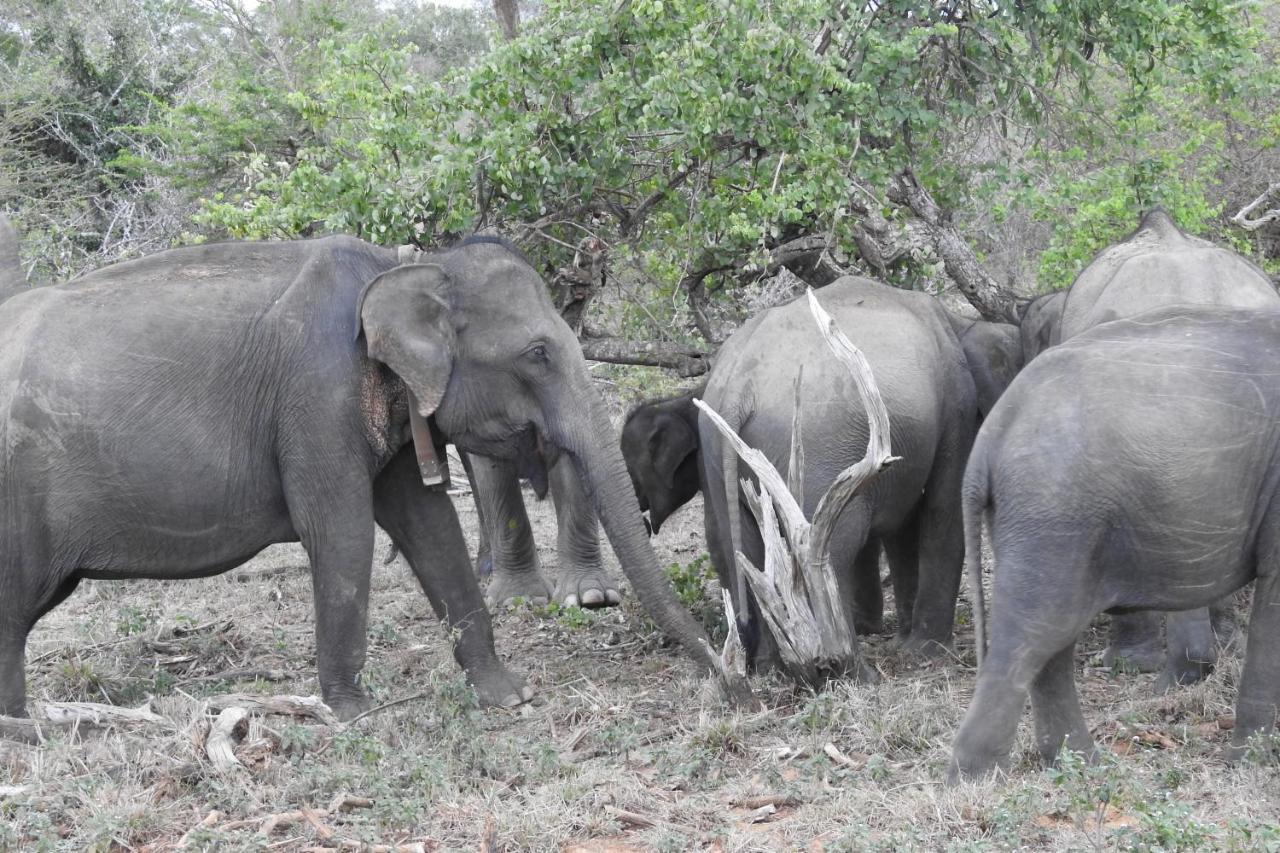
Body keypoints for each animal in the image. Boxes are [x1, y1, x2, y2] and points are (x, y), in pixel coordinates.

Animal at [0, 234, 721, 717]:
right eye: (537, 353)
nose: (727, 674)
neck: (404, 266)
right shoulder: (316, 396)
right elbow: (343, 531)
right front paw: (351, 713)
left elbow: (430, 526)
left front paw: (509, 696)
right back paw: (25, 731)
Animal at [947, 306, 1280, 778]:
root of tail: (990, 435)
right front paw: (1246, 764)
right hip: (1054, 513)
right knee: (1031, 635)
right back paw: (977, 778)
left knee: (1051, 637)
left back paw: (1077, 764)